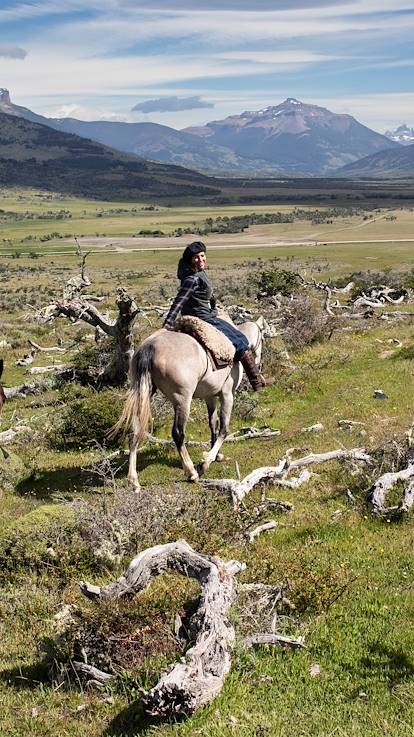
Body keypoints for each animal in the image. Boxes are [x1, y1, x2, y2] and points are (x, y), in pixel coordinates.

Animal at [115, 318, 266, 491]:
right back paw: (191, 472)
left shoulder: (210, 396)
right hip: (183, 401)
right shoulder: (227, 394)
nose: (259, 365)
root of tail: (149, 347)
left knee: (134, 431)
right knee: (178, 433)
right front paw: (206, 461)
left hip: (143, 394)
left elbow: (213, 424)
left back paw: (133, 480)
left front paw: (216, 455)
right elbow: (224, 429)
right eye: (263, 339)